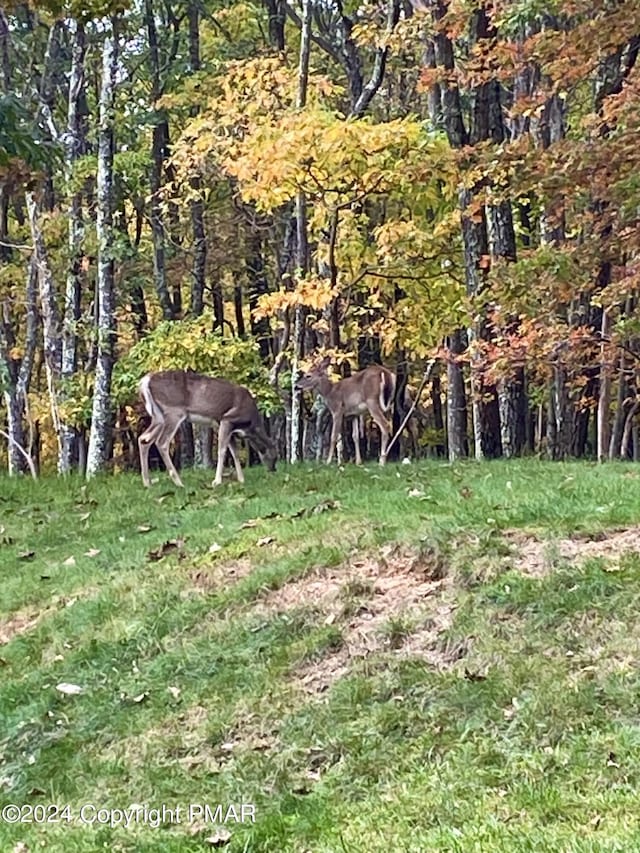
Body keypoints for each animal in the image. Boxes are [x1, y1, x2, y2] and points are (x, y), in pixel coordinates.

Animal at [139, 372, 276, 490]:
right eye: (275, 455)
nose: (273, 470)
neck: (250, 425)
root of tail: (146, 381)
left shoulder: (223, 426)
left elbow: (234, 452)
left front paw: (241, 479)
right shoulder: (227, 419)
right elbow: (222, 450)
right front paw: (217, 481)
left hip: (158, 417)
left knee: (143, 439)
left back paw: (147, 483)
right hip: (174, 411)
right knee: (161, 442)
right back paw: (179, 483)